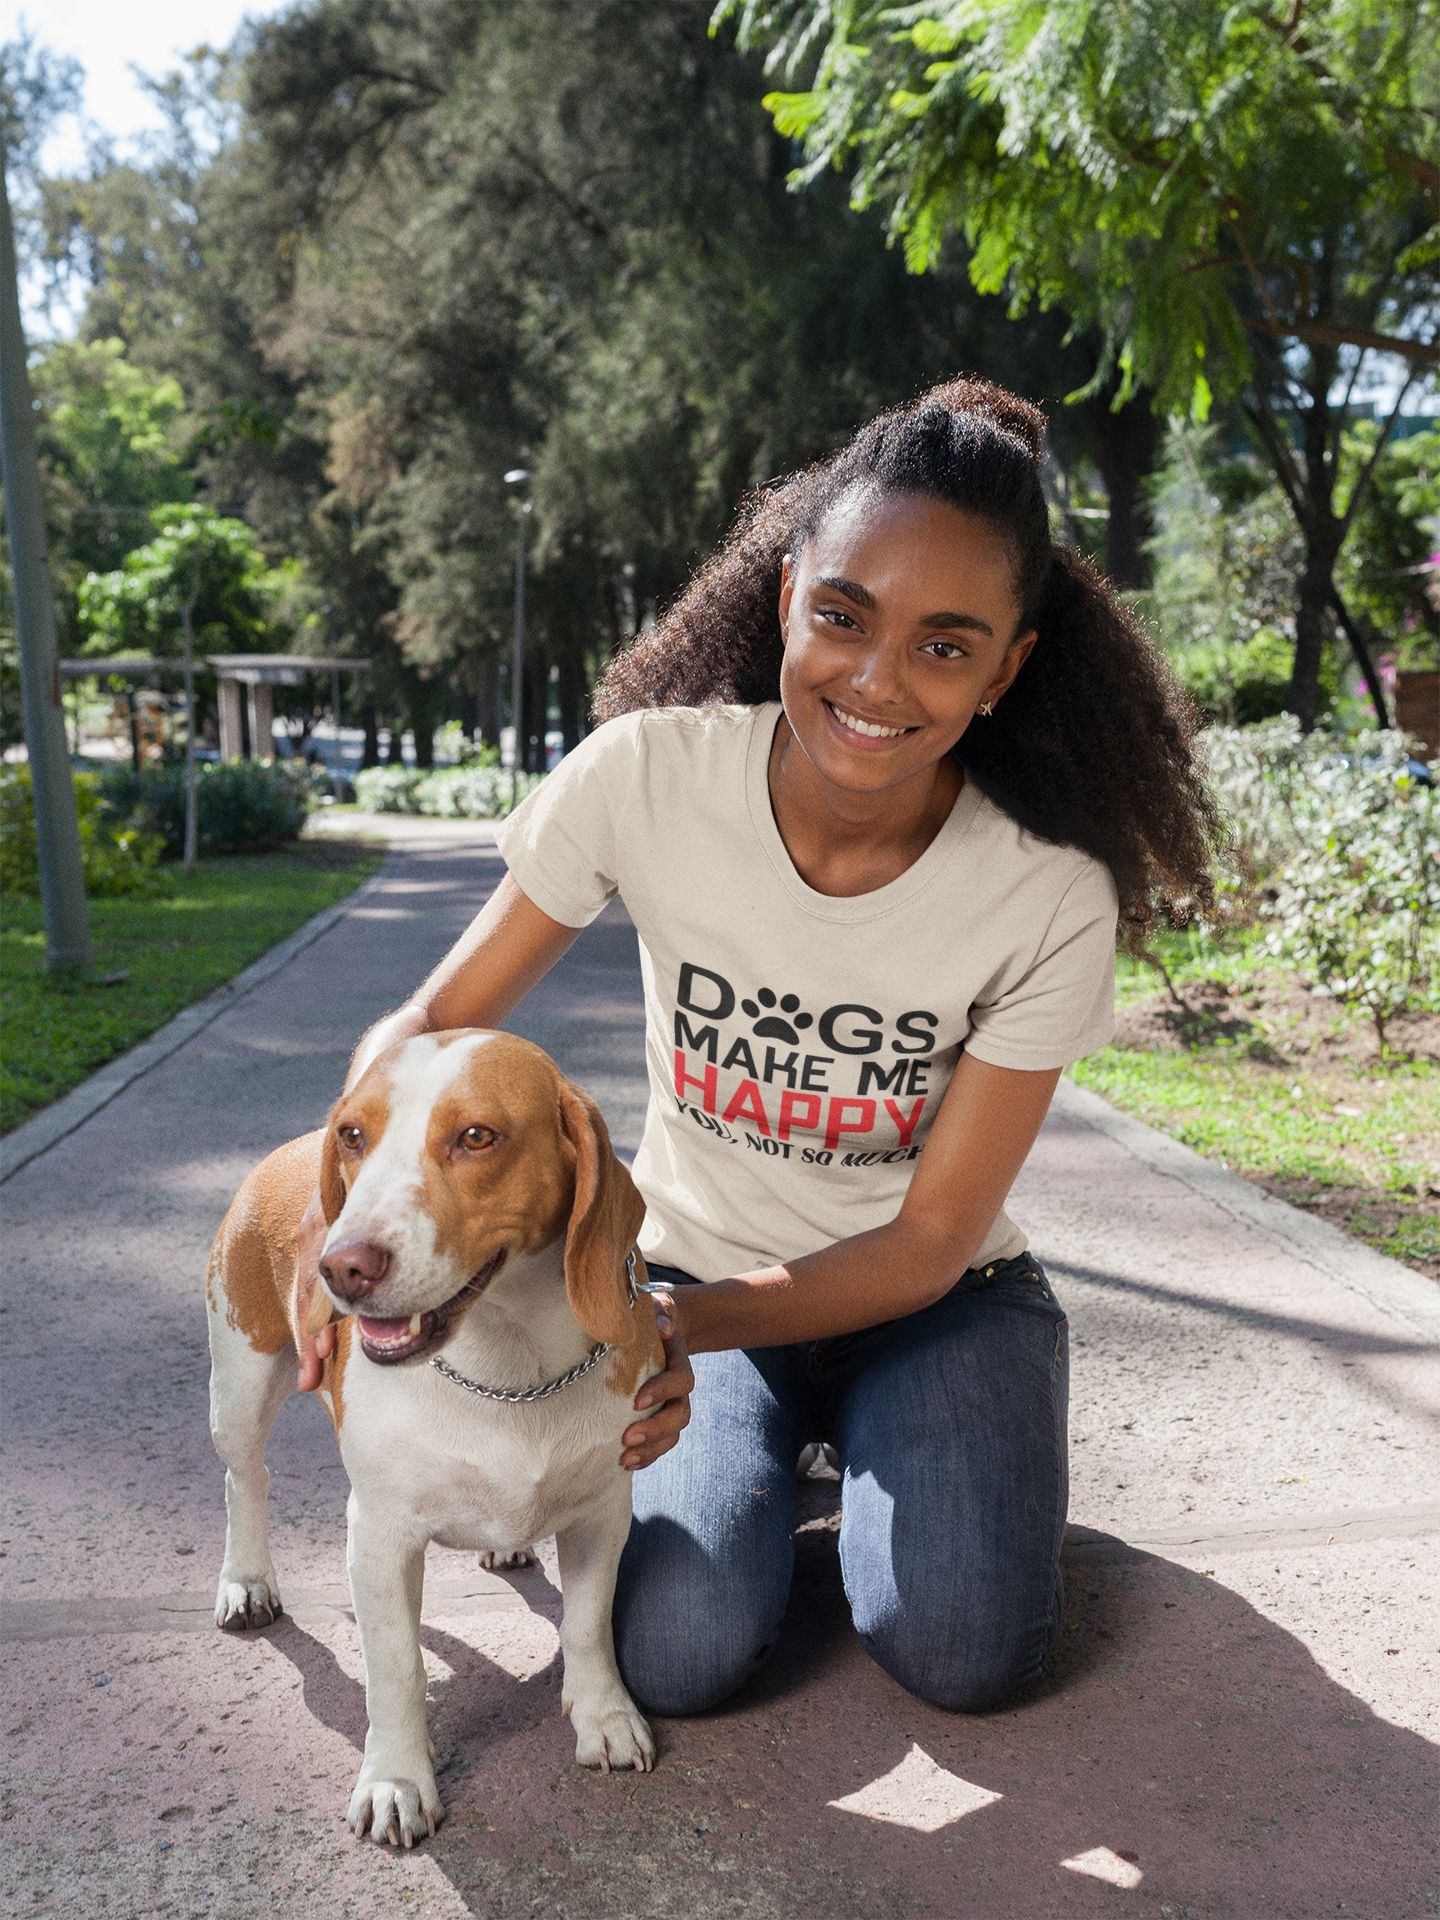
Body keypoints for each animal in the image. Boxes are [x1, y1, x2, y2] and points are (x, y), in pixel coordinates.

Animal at [204, 1036, 664, 1843]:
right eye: (355, 1136)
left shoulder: (603, 1511)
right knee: (246, 1480)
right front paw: (396, 1780)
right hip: (239, 1388)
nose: (341, 1267)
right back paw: (249, 1579)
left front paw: (604, 1716)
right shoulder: (381, 1537)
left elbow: (587, 1624)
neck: (509, 1369)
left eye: (477, 1136)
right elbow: (396, 1669)